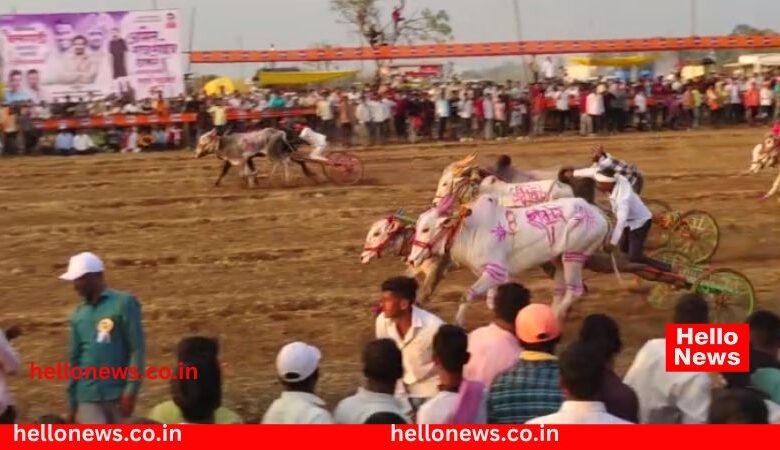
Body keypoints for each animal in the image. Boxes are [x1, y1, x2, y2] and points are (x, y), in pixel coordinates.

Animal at [408, 193, 608, 324]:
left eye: (426, 228)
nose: (411, 260)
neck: (470, 231)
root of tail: (597, 213)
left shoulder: (495, 271)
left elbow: (467, 295)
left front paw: (459, 323)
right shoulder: (493, 276)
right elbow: (491, 300)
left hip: (573, 256)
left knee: (575, 290)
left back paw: (557, 316)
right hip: (558, 259)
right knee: (560, 290)